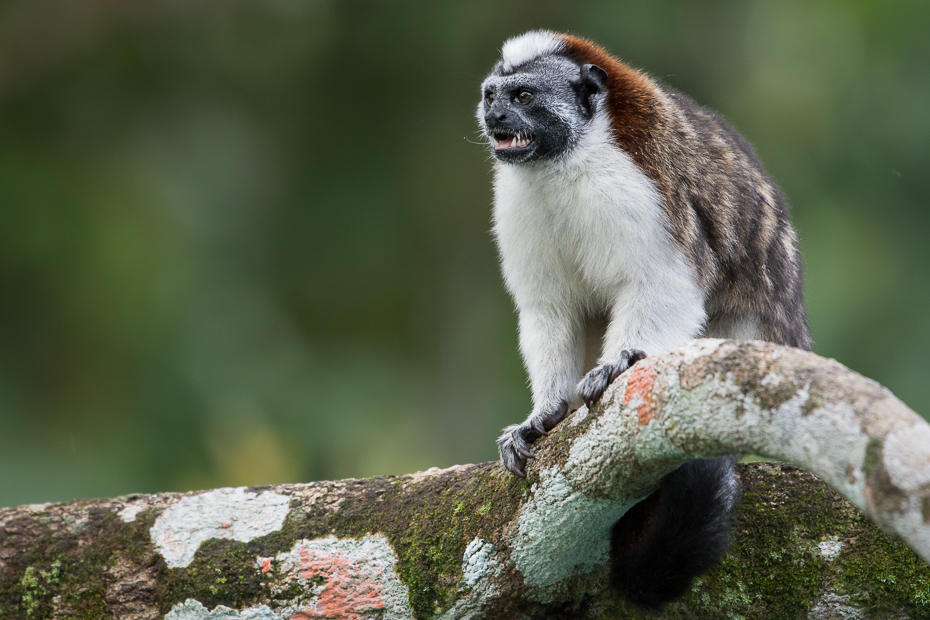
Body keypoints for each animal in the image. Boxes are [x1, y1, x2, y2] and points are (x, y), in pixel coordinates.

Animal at [474, 31, 808, 608]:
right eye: (493, 95)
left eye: (522, 97)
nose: (494, 114)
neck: (568, 160)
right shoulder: (517, 198)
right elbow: (550, 310)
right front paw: (546, 414)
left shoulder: (638, 188)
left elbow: (664, 283)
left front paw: (621, 363)